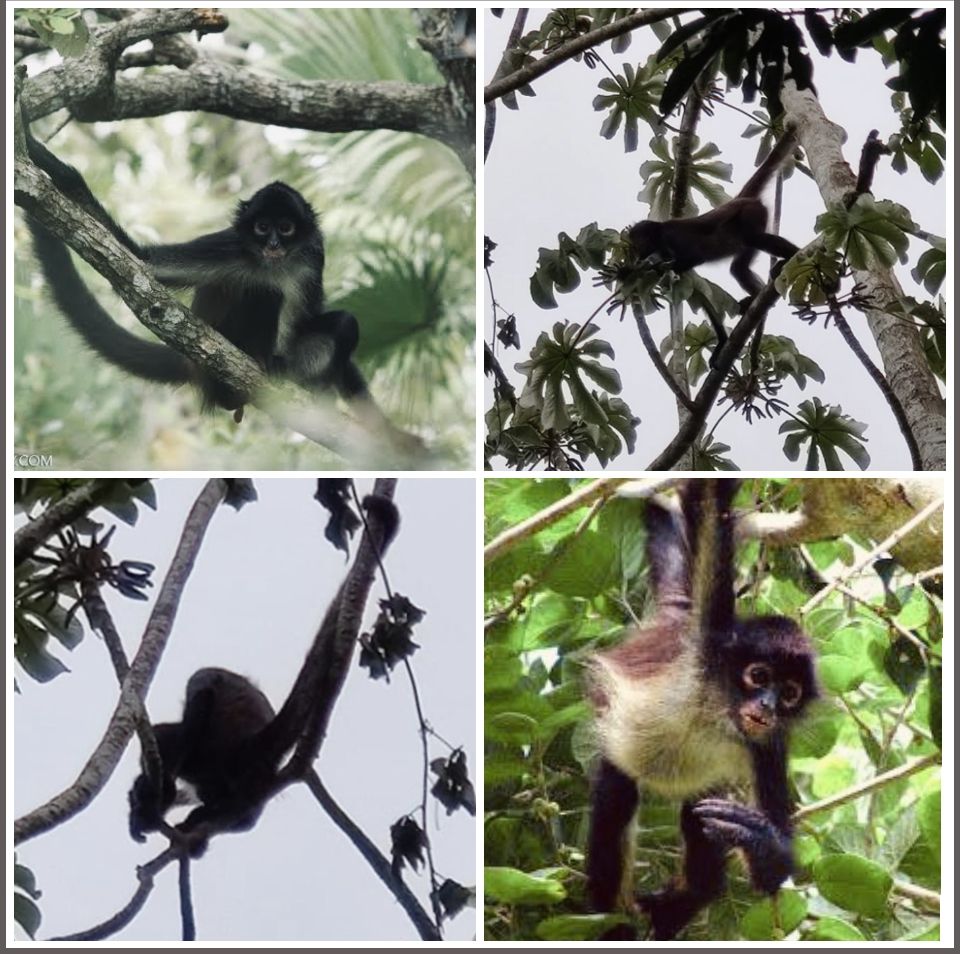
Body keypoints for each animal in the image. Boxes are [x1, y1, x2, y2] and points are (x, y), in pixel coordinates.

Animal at [21, 124, 420, 448]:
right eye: (262, 227)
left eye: (285, 227)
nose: (273, 244)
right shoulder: (230, 245)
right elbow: (146, 263)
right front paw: (61, 173)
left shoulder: (312, 253)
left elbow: (317, 317)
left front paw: (389, 433)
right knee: (265, 292)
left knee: (340, 323)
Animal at [584, 476, 816, 936]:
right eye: (758, 676)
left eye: (790, 693)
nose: (767, 705)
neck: (717, 708)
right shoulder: (709, 638)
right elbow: (710, 501)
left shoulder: (767, 743)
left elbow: (772, 873)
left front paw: (758, 838)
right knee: (616, 803)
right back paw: (611, 922)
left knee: (702, 837)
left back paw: (666, 916)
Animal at [628, 126, 800, 360]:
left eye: (639, 242)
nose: (638, 253)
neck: (660, 235)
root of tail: (740, 199)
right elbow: (694, 287)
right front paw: (722, 342)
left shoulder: (672, 236)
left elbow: (695, 258)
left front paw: (652, 271)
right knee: (739, 267)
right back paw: (755, 298)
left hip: (752, 212)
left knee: (754, 239)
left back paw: (794, 256)